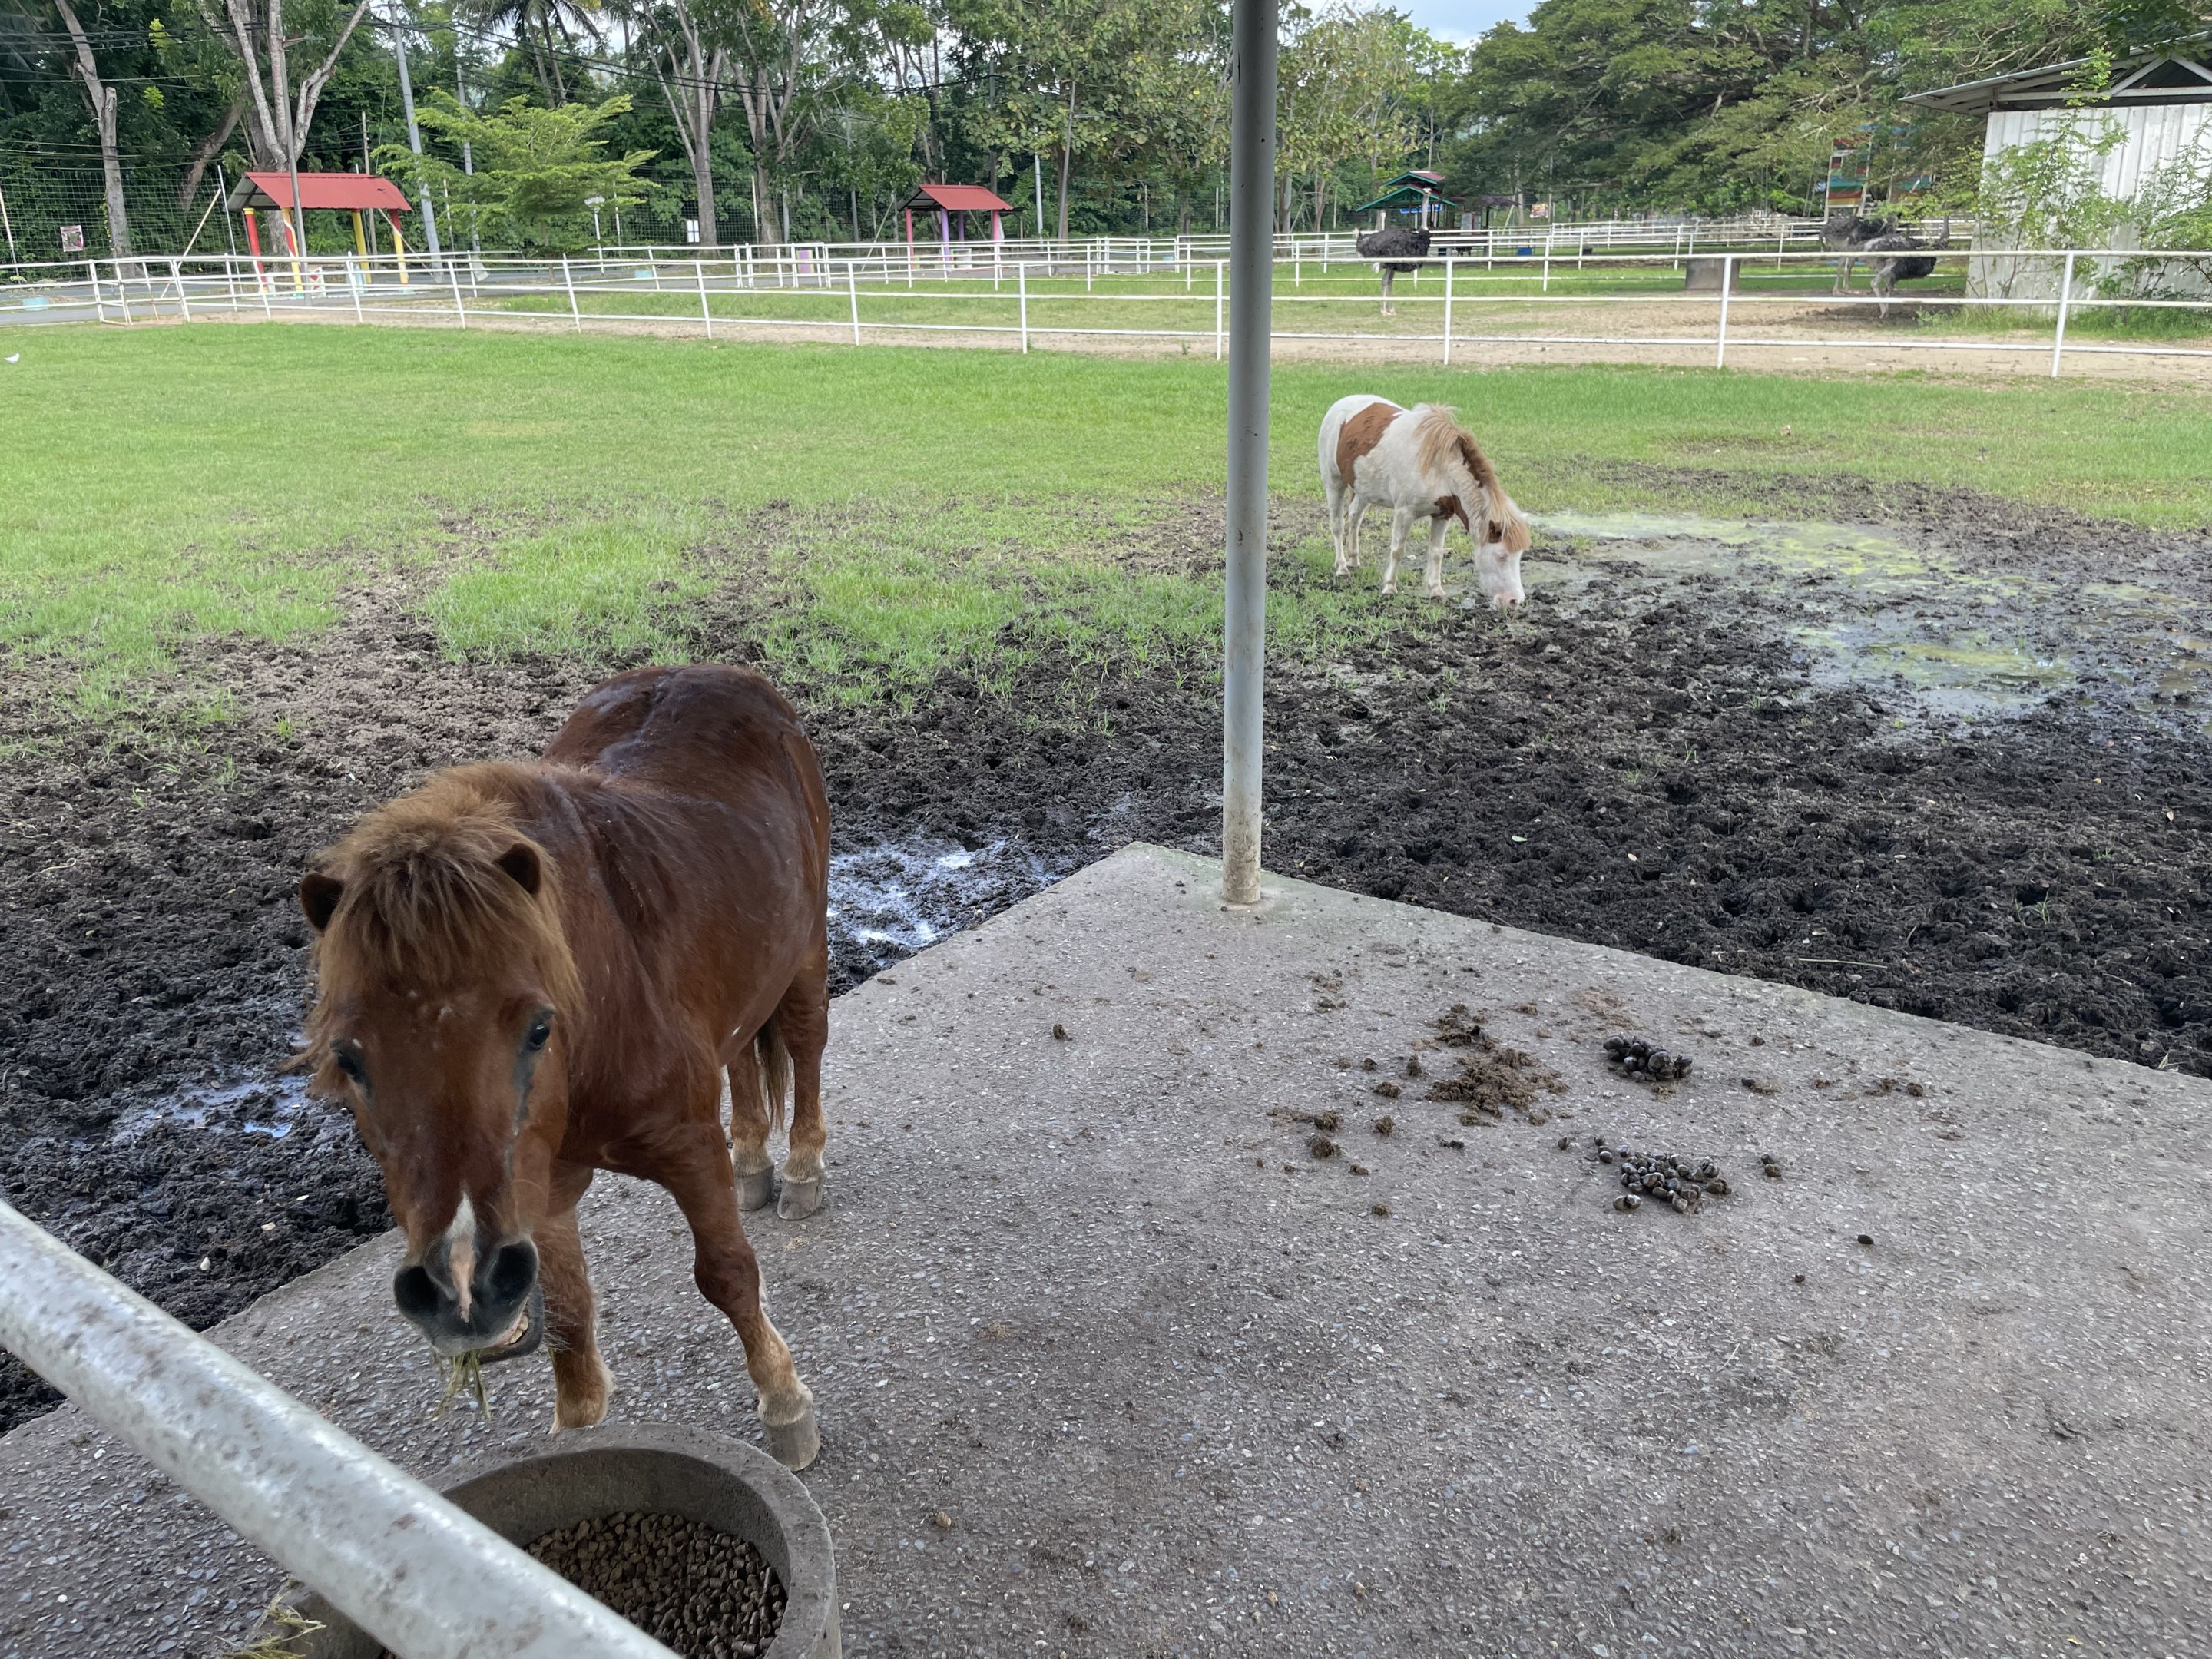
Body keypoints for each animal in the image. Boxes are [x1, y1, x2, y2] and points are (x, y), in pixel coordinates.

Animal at [296, 664, 832, 1468]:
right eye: (347, 1058)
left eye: (538, 1029)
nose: (461, 1289)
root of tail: (726, 674)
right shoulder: (540, 1192)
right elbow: (572, 1312)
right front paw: (580, 1427)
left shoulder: (686, 1147)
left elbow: (728, 1275)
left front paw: (783, 1401)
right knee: (743, 1058)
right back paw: (754, 1161)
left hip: (805, 954)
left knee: (805, 1046)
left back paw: (799, 1169)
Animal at [1318, 394, 1531, 608]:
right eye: (1501, 556)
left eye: (1520, 555)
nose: (1515, 601)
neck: (1439, 467)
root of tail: (1341, 403)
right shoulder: (1404, 512)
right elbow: (1398, 550)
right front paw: (1389, 587)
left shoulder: (1443, 515)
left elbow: (1436, 553)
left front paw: (1436, 590)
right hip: (1334, 483)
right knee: (1337, 525)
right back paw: (1342, 567)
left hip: (1363, 490)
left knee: (1355, 517)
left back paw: (1354, 560)